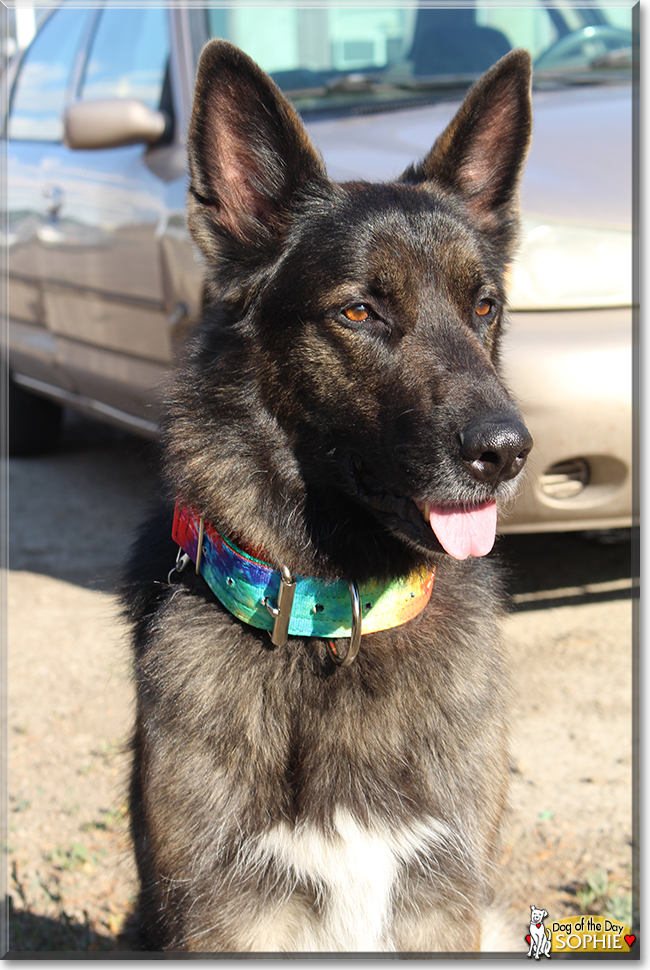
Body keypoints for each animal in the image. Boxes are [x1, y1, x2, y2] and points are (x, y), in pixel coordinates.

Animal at [121, 39, 532, 952]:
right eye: (359, 312)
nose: (507, 451)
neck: (338, 617)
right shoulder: (228, 916)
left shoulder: (442, 906)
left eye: (484, 306)